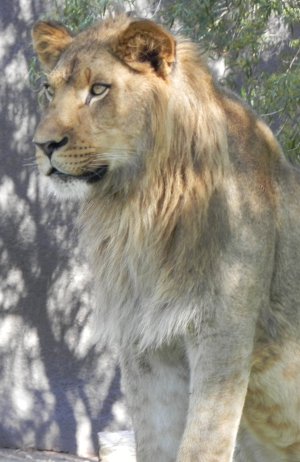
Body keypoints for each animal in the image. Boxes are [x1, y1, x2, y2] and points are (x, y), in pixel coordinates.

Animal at [31, 15, 300, 462]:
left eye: (98, 89)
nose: (43, 145)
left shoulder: (224, 333)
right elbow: (155, 441)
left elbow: (202, 444)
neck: (142, 205)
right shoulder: (144, 343)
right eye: (49, 90)